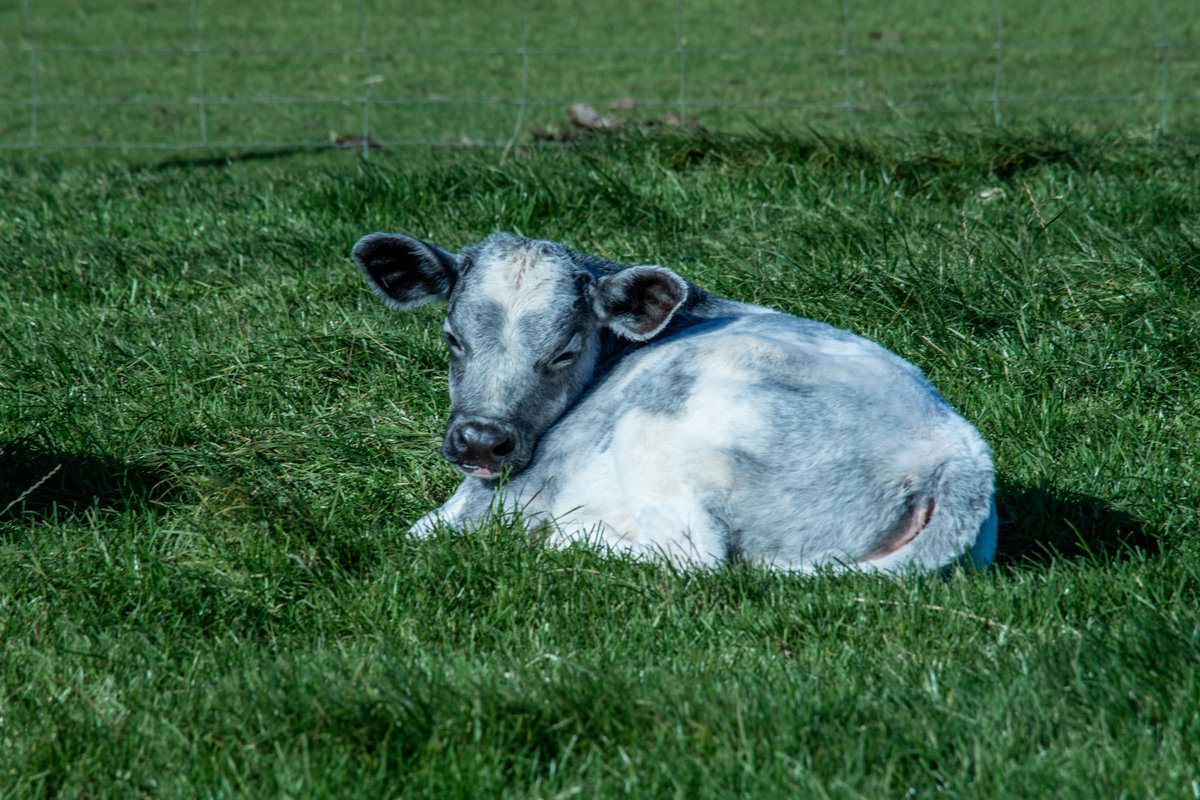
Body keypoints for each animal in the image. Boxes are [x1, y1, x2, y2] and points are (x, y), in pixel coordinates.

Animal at [352, 231, 998, 573]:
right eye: (452, 338)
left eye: (564, 351)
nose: (481, 441)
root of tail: (956, 454)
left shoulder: (495, 498)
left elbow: (424, 531)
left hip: (656, 427)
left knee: (694, 557)